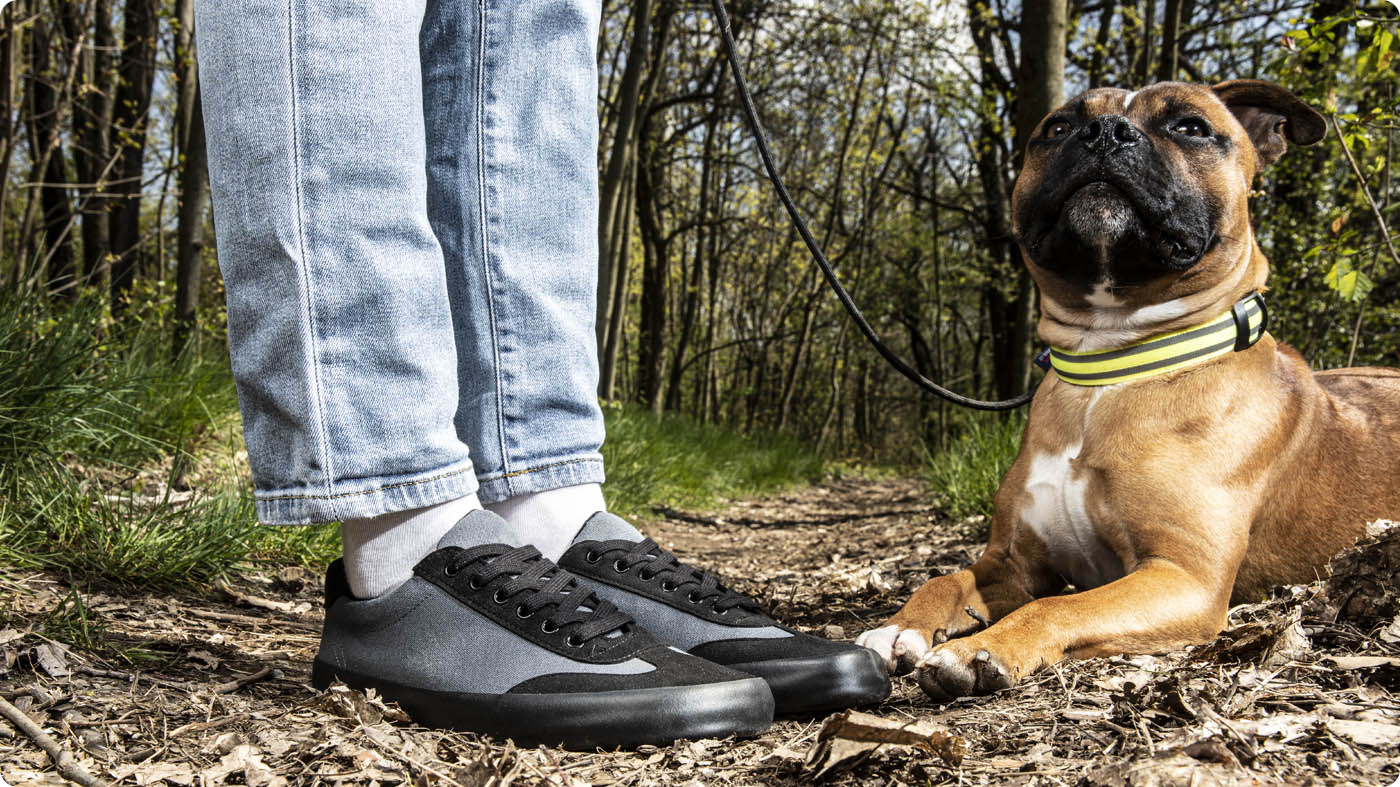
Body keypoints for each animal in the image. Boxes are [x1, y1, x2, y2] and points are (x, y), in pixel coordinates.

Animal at [856, 79, 1400, 694]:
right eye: (1059, 128)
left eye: (1190, 126)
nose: (1105, 133)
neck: (1108, 368)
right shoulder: (1014, 563)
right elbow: (947, 579)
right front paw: (900, 626)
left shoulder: (1181, 576)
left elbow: (1059, 606)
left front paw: (983, 646)